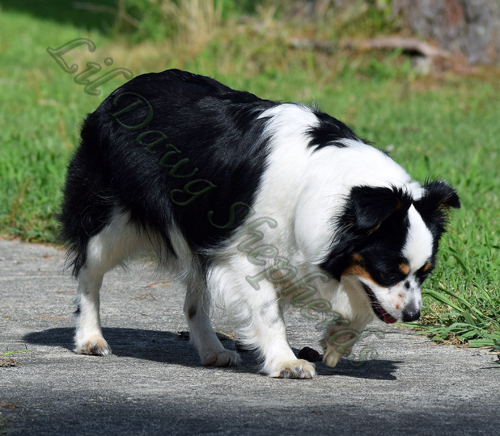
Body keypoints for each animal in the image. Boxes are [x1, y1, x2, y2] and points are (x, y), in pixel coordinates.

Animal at [59, 69, 460, 378]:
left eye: (425, 273)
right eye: (389, 271)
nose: (414, 316)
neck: (342, 191)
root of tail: (118, 93)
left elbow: (365, 305)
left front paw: (336, 342)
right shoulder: (241, 252)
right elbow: (269, 312)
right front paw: (286, 361)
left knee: (194, 298)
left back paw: (212, 350)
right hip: (113, 221)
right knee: (90, 271)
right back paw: (90, 338)